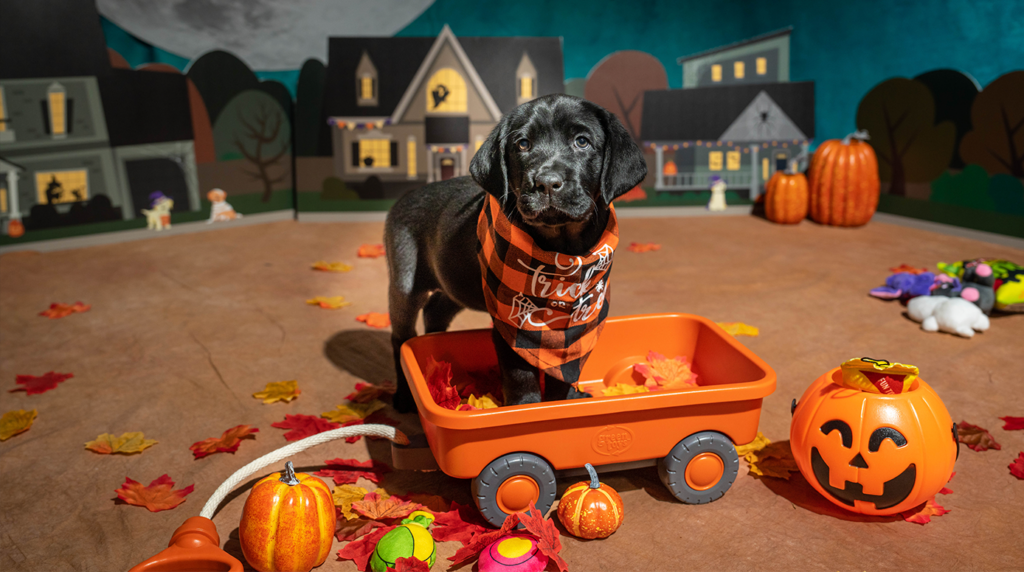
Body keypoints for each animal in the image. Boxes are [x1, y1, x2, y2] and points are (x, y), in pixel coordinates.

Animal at [385, 94, 647, 411]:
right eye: (523, 144)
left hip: (456, 282)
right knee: (400, 337)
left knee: (436, 309)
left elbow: (563, 372)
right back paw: (403, 396)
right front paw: (527, 408)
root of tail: (405, 197)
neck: (562, 254)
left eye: (582, 142)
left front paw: (563, 403)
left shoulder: (577, 327)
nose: (546, 183)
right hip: (405, 282)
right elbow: (521, 374)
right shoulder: (511, 324)